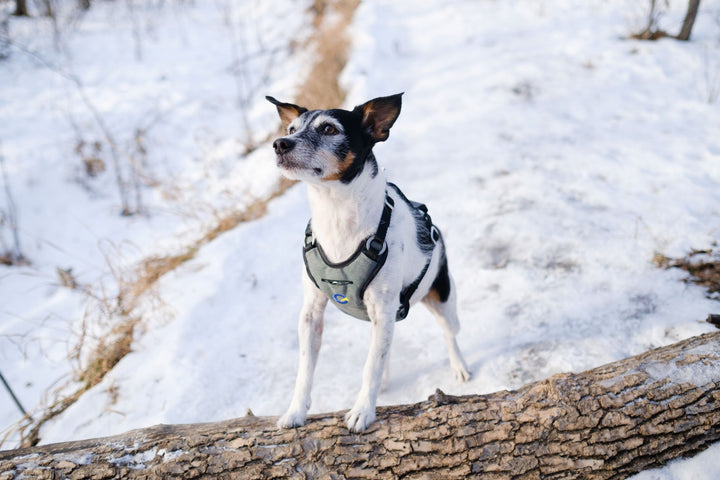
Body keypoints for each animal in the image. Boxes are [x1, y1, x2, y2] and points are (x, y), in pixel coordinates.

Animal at [268, 93, 470, 432]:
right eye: (291, 128)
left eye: (329, 129)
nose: (280, 143)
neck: (335, 213)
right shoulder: (311, 314)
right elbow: (305, 370)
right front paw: (295, 411)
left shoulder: (384, 307)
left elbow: (370, 367)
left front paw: (362, 410)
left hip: (442, 299)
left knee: (449, 334)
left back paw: (460, 366)